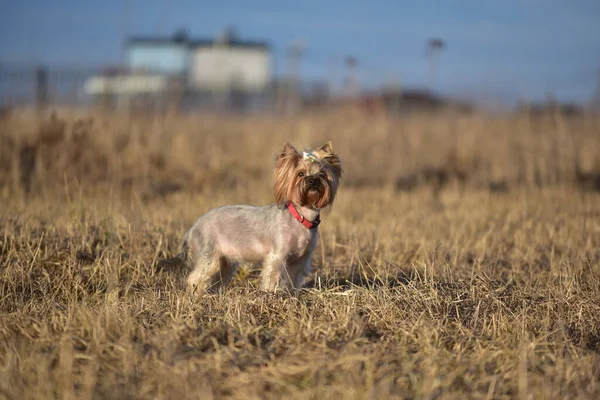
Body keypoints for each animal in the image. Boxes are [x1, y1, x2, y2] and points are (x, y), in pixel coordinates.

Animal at [171, 142, 342, 292]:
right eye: (300, 174)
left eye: (322, 174)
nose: (313, 180)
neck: (301, 217)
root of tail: (192, 228)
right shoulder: (277, 256)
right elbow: (272, 277)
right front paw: (271, 294)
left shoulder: (300, 260)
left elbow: (293, 280)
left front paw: (291, 294)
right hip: (209, 255)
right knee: (195, 278)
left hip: (225, 261)